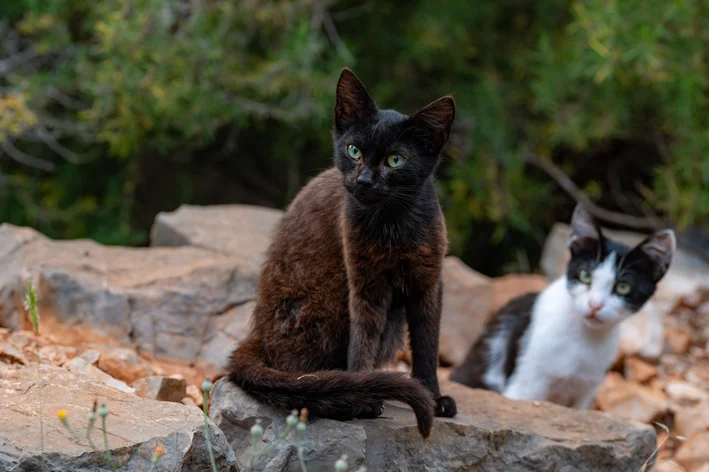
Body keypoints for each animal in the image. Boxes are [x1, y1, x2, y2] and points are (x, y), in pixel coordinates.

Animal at [448, 205, 676, 408]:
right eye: (585, 275)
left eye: (623, 287)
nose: (595, 305)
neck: (584, 339)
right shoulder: (524, 385)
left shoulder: (586, 391)